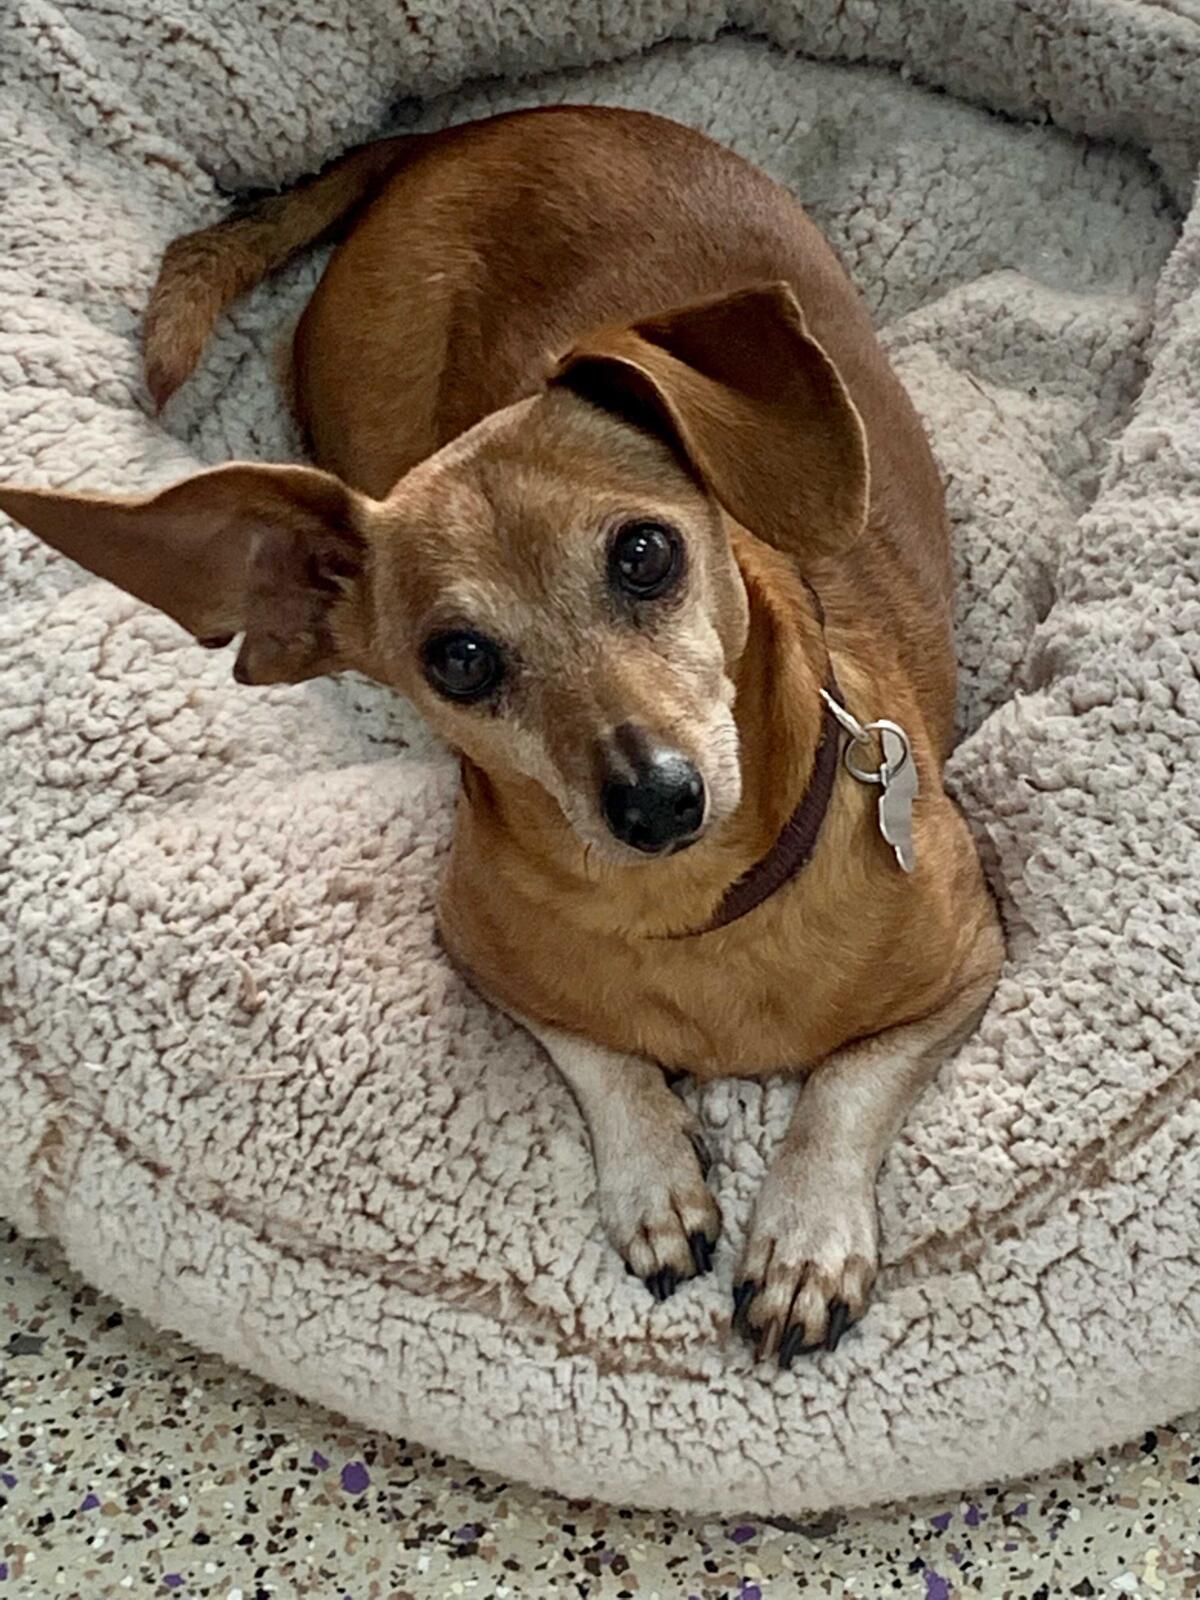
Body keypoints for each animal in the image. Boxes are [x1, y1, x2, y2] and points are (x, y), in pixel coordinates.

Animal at [0, 109, 1004, 1363]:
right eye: (460, 659)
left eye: (645, 552)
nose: (656, 797)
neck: (694, 915)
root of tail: (461, 132)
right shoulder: (482, 956)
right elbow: (594, 1048)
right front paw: (651, 1171)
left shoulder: (966, 971)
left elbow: (847, 1084)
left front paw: (807, 1231)